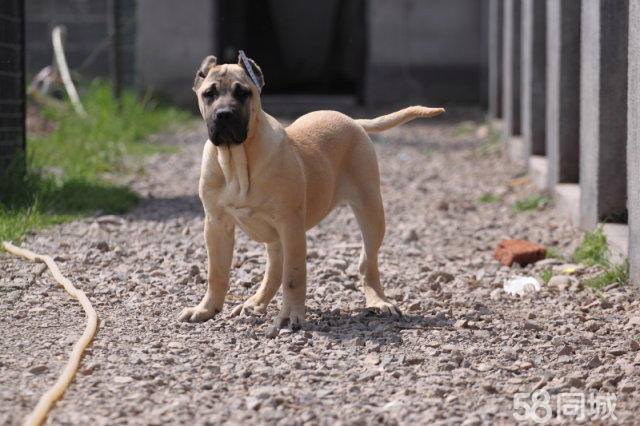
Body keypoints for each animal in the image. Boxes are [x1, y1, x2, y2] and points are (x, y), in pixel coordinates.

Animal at [178, 53, 442, 336]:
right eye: (209, 94)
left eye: (243, 93)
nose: (224, 114)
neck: (236, 160)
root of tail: (352, 120)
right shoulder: (216, 224)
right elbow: (216, 273)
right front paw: (205, 309)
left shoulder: (290, 224)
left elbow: (294, 276)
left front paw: (289, 316)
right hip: (278, 234)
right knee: (274, 269)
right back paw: (255, 303)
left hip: (371, 211)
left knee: (367, 263)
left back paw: (378, 301)